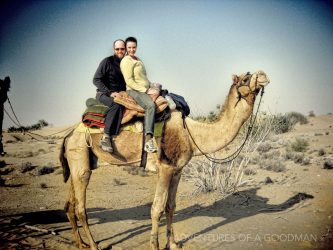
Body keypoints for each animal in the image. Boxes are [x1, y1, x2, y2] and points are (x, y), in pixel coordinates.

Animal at [59, 69, 270, 249]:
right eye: (245, 78)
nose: (263, 75)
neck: (191, 133)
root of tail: (69, 135)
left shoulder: (177, 170)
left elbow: (171, 206)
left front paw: (174, 243)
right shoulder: (165, 168)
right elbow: (157, 208)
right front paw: (155, 245)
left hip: (81, 160)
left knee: (70, 205)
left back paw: (81, 243)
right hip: (79, 153)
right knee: (80, 208)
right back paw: (94, 245)